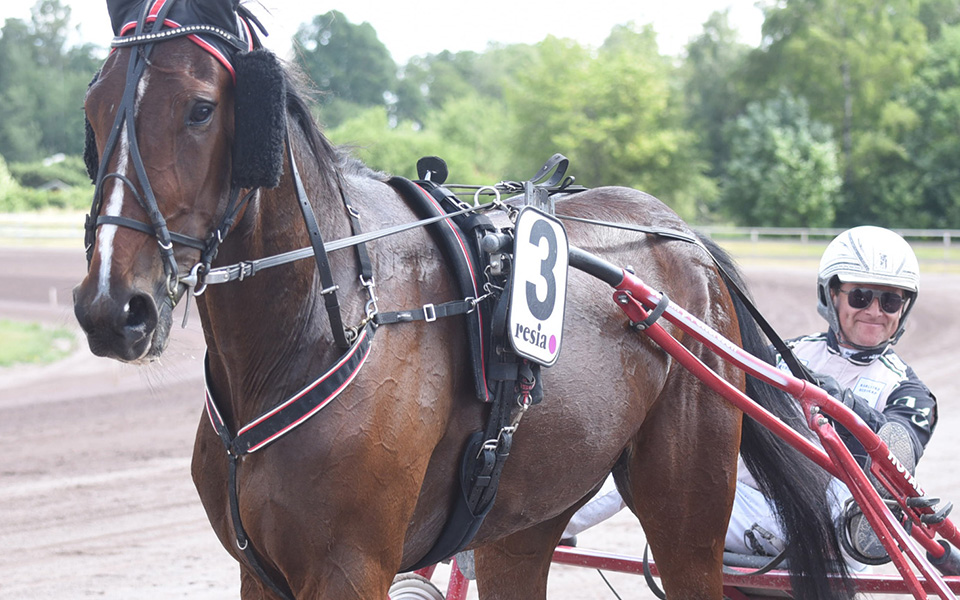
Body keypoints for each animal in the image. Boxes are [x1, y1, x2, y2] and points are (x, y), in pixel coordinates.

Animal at [77, 2, 856, 596]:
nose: (113, 308)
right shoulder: (257, 570)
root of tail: (682, 236)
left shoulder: (349, 565)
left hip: (687, 508)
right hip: (526, 517)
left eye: (201, 108)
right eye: (93, 110)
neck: (328, 322)